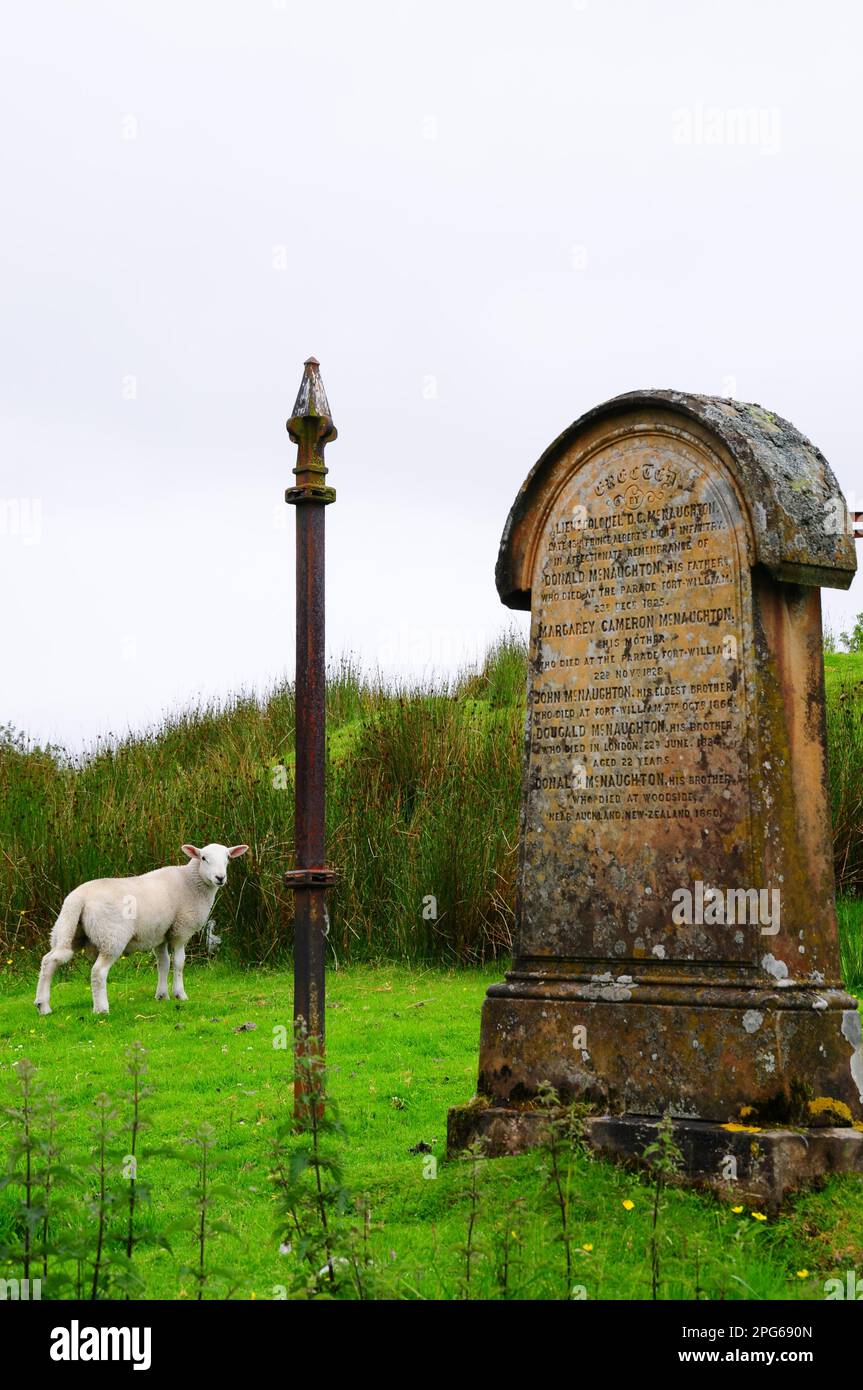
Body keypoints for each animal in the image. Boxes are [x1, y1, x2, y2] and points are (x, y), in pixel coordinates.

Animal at [34, 839, 248, 1017]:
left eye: (228, 858)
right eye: (204, 858)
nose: (220, 877)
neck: (191, 882)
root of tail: (78, 898)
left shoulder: (159, 934)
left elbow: (163, 963)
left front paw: (162, 995)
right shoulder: (182, 930)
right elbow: (179, 963)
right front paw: (180, 994)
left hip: (68, 930)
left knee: (50, 961)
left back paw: (43, 1006)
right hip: (111, 937)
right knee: (98, 972)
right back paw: (101, 1009)